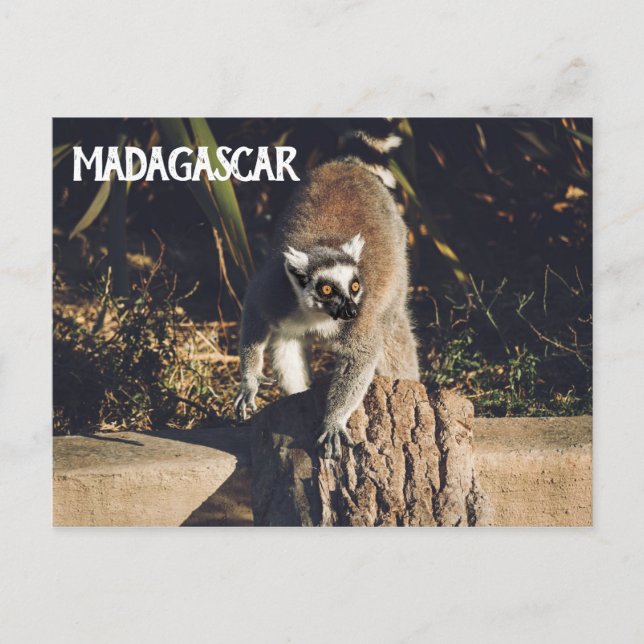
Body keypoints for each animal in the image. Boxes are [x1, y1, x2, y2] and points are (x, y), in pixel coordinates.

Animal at [234, 154, 419, 459]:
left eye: (355, 287)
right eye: (327, 289)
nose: (351, 312)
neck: (317, 315)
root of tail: (347, 163)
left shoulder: (363, 315)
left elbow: (361, 355)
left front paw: (333, 420)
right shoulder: (276, 291)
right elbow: (254, 310)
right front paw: (250, 380)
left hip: (399, 262)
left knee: (392, 328)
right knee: (285, 342)